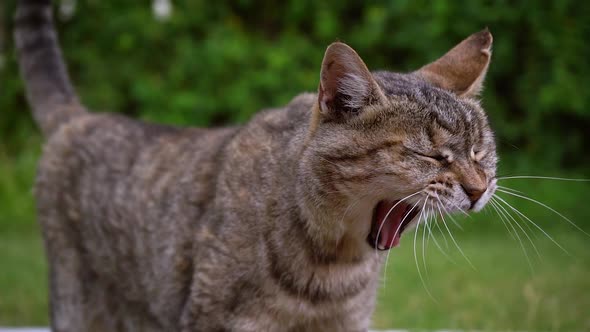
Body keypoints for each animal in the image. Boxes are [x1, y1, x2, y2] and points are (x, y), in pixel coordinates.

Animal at [13, 0, 500, 332]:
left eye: (480, 153)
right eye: (431, 154)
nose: (479, 188)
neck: (333, 266)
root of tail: (79, 117)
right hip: (77, 303)